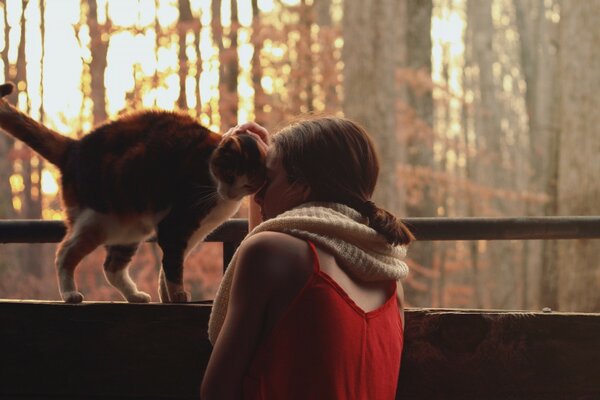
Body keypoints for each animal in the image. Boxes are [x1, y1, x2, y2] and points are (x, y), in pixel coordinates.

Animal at [0, 82, 268, 304]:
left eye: (247, 185)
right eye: (230, 175)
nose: (230, 194)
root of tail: (74, 148)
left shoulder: (194, 232)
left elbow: (169, 265)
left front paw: (166, 296)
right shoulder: (176, 224)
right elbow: (173, 265)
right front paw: (177, 295)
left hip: (131, 227)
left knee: (111, 267)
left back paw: (135, 295)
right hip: (100, 218)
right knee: (64, 252)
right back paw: (70, 293)